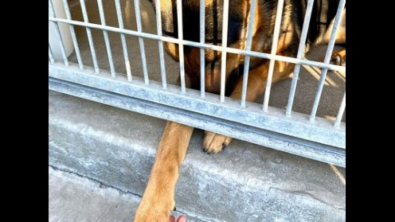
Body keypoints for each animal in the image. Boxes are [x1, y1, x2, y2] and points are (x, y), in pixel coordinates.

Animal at [135, 0, 344, 221]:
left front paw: (220, 128)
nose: (202, 117)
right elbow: (171, 137)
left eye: (214, 59)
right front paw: (152, 208)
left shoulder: (290, 54)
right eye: (177, 61)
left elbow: (251, 77)